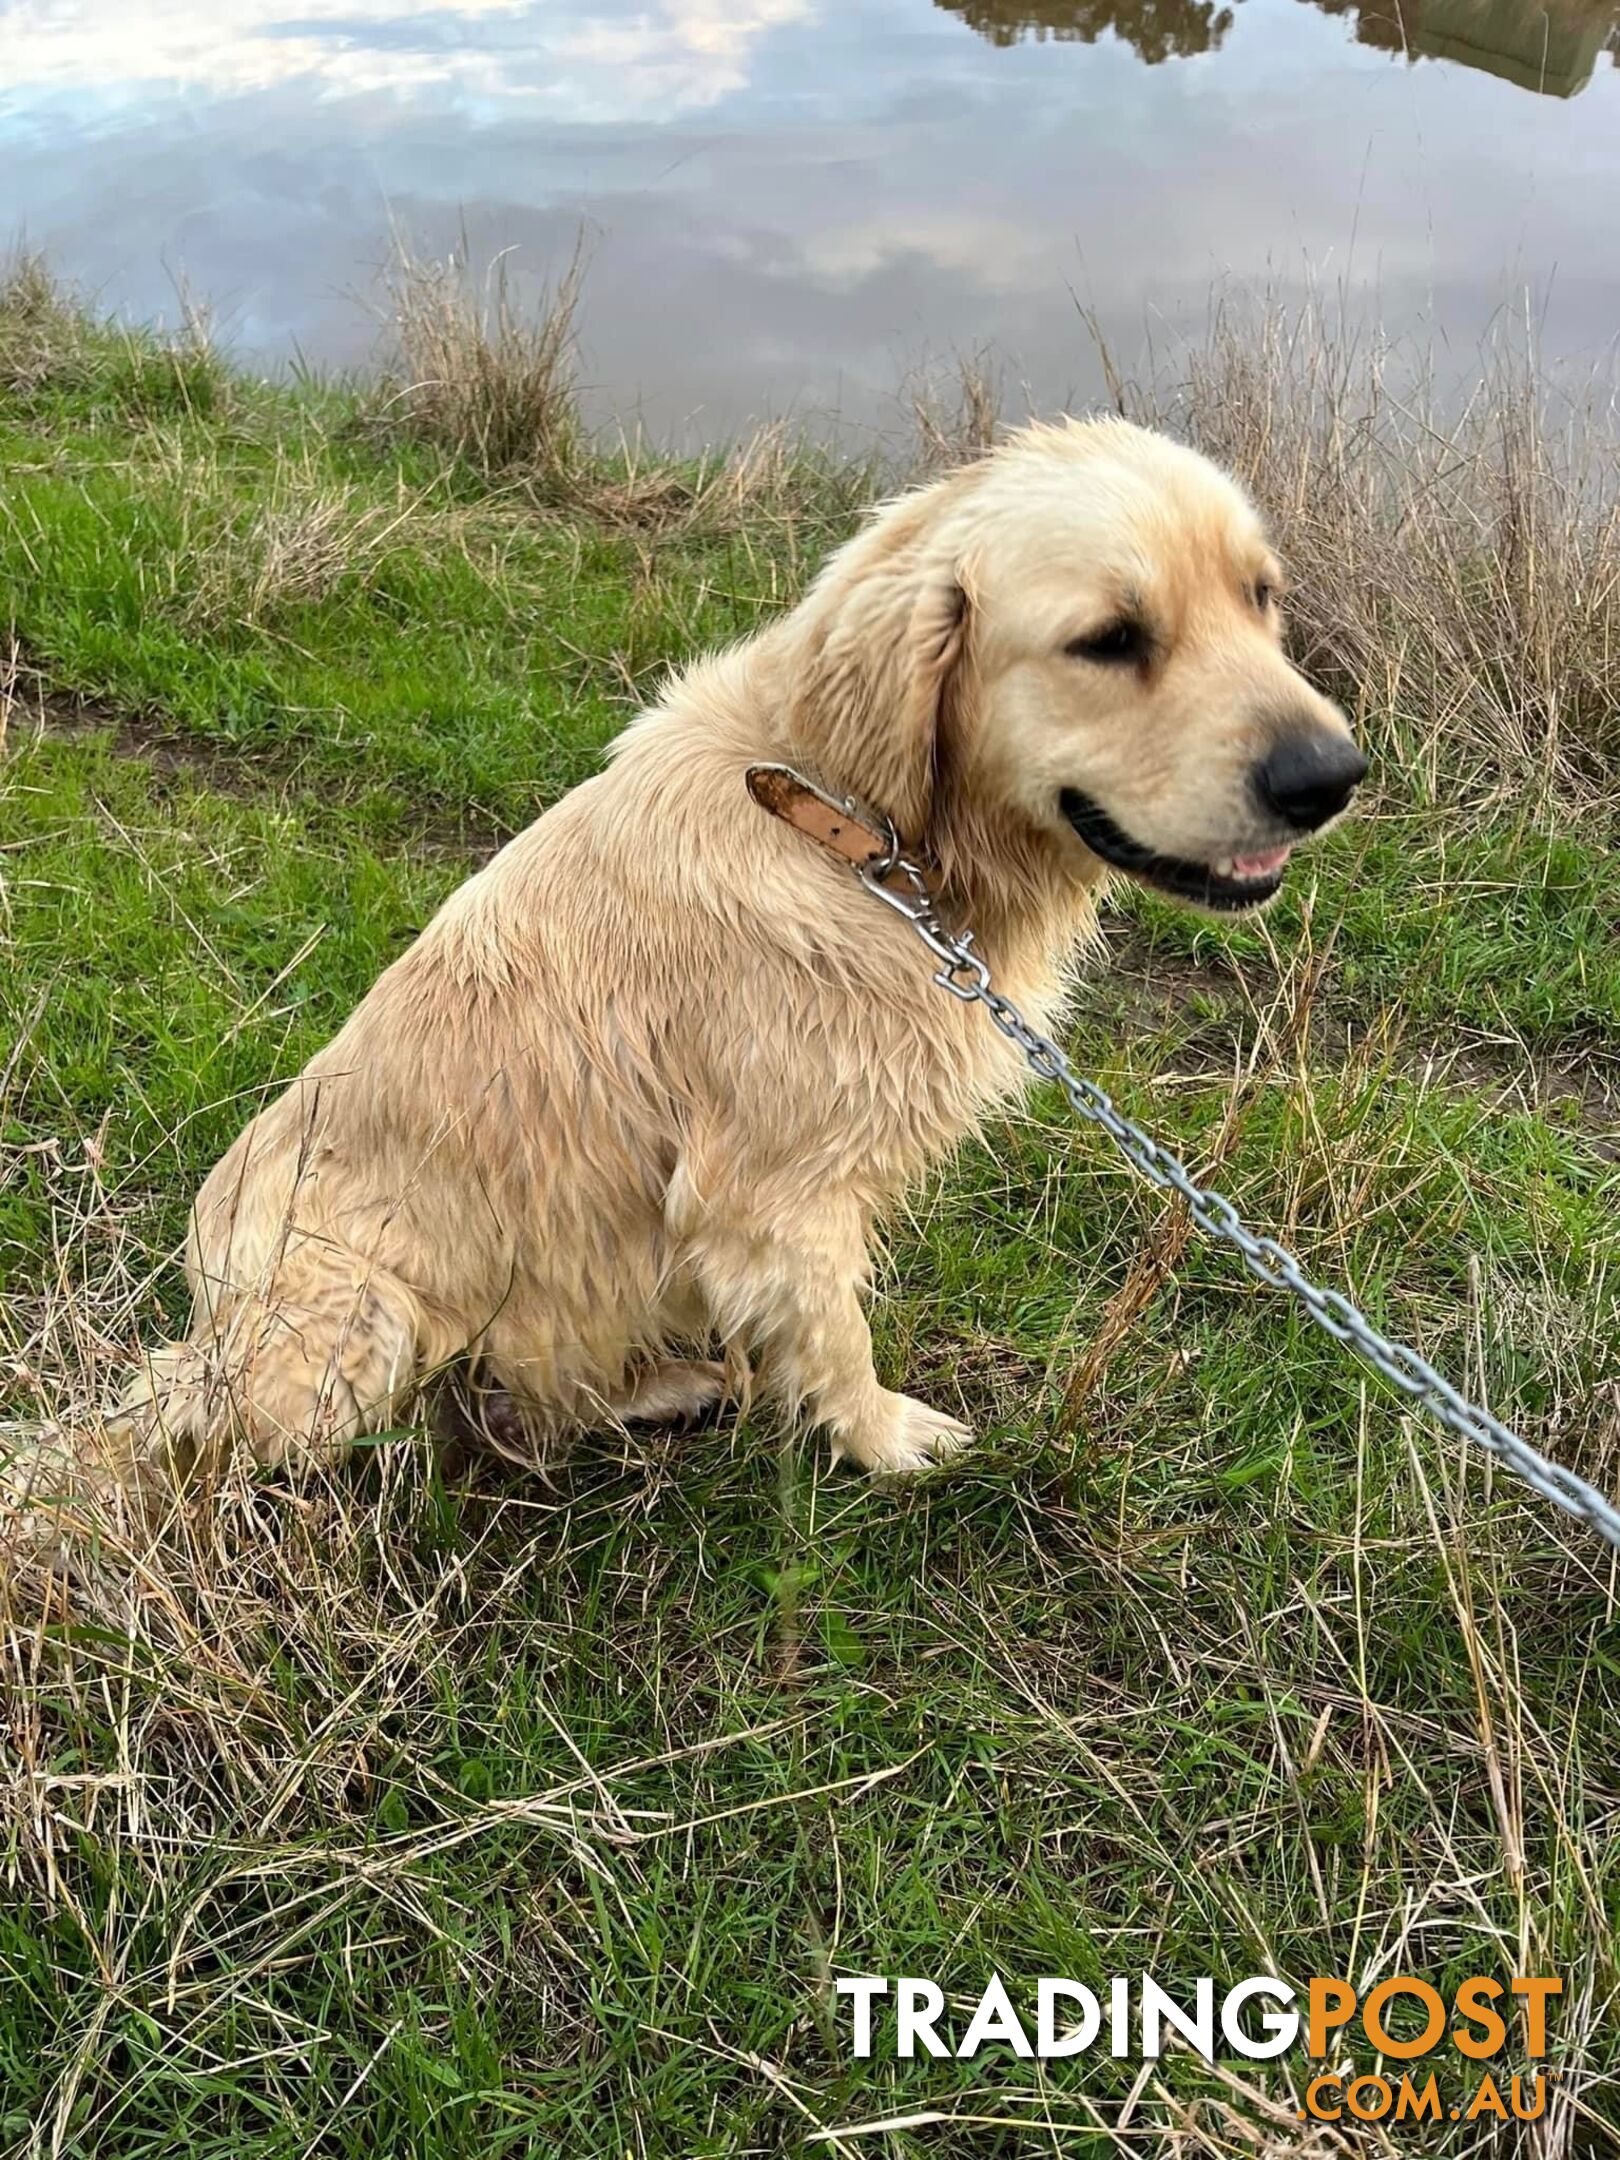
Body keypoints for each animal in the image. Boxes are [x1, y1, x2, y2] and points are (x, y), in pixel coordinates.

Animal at [9, 416, 1373, 1537]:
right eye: (1110, 640)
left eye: (1262, 598)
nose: (1331, 776)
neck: (845, 827)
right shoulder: (772, 1201)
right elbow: (837, 1337)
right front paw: (885, 1440)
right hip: (351, 1327)